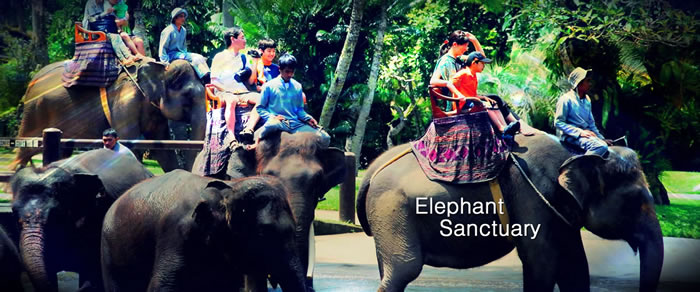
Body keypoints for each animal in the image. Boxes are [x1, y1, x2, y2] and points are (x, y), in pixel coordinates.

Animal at [12, 59, 205, 171]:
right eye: (188, 96)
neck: (160, 67)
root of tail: (32, 81)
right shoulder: (124, 102)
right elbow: (132, 144)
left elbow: (163, 150)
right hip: (34, 113)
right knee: (24, 150)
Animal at [358, 133, 664, 292]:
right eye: (637, 200)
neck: (575, 153)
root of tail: (371, 170)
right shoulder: (533, 196)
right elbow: (541, 261)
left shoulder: (560, 213)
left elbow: (575, 265)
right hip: (392, 209)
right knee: (405, 268)